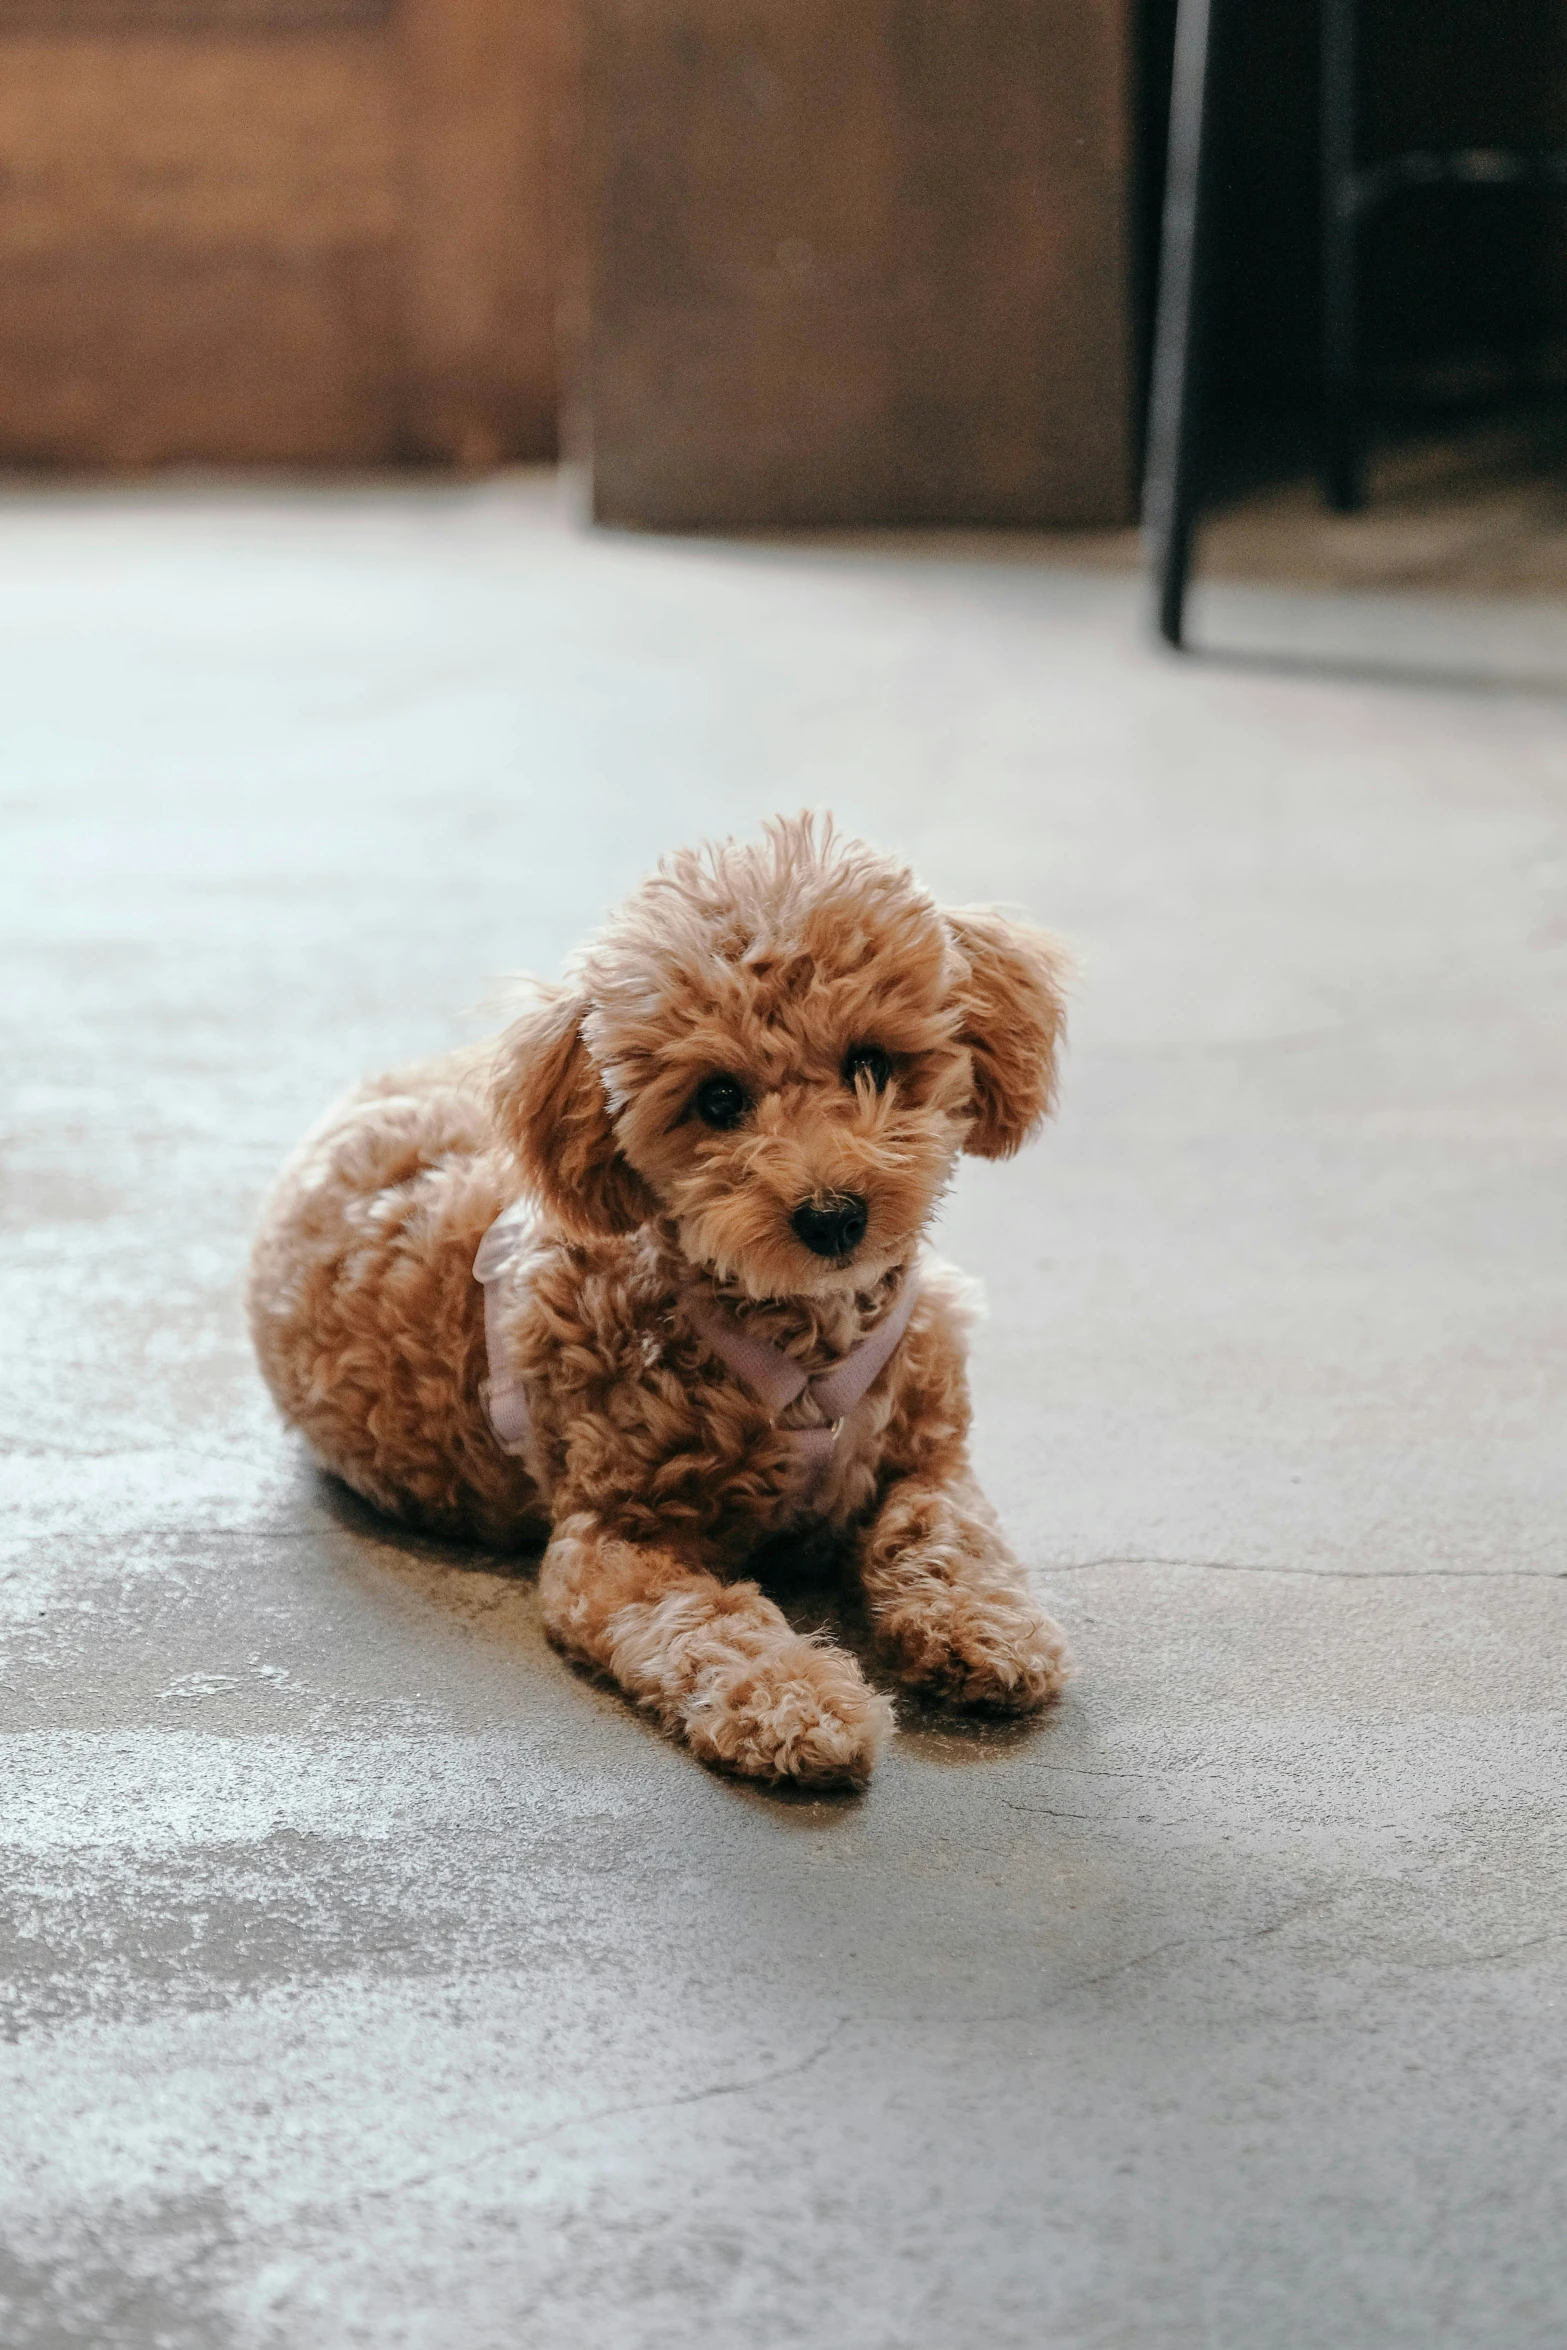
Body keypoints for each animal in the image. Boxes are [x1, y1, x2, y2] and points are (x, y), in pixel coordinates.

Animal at [247, 817, 1080, 1785]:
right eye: (717, 1098)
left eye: (870, 1062)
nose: (832, 1215)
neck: (804, 1337)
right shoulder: (613, 1545)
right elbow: (712, 1627)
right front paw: (795, 1702)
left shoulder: (931, 1457)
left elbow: (949, 1533)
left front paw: (986, 1625)